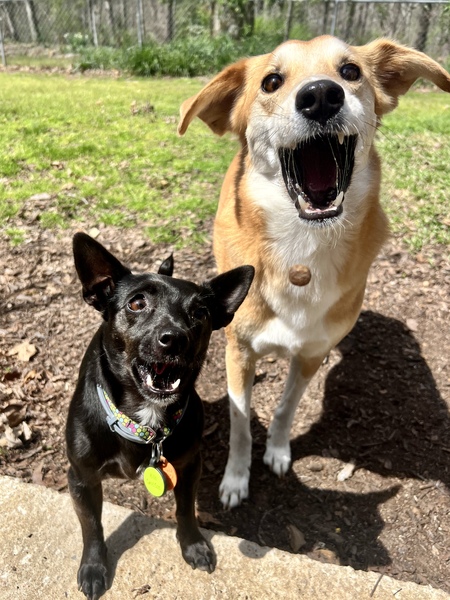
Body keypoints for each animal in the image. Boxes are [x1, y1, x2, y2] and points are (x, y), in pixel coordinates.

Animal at [66, 233, 253, 600]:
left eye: (200, 312)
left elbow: (185, 509)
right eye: (136, 304)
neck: (142, 421)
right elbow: (91, 525)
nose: (175, 338)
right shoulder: (81, 479)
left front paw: (193, 545)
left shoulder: (189, 466)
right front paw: (94, 566)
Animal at [178, 35, 450, 508]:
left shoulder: (311, 354)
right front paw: (236, 478)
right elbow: (240, 422)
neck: (302, 249)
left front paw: (278, 451)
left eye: (350, 71)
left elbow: (286, 407)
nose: (321, 95)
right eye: (271, 81)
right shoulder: (239, 352)